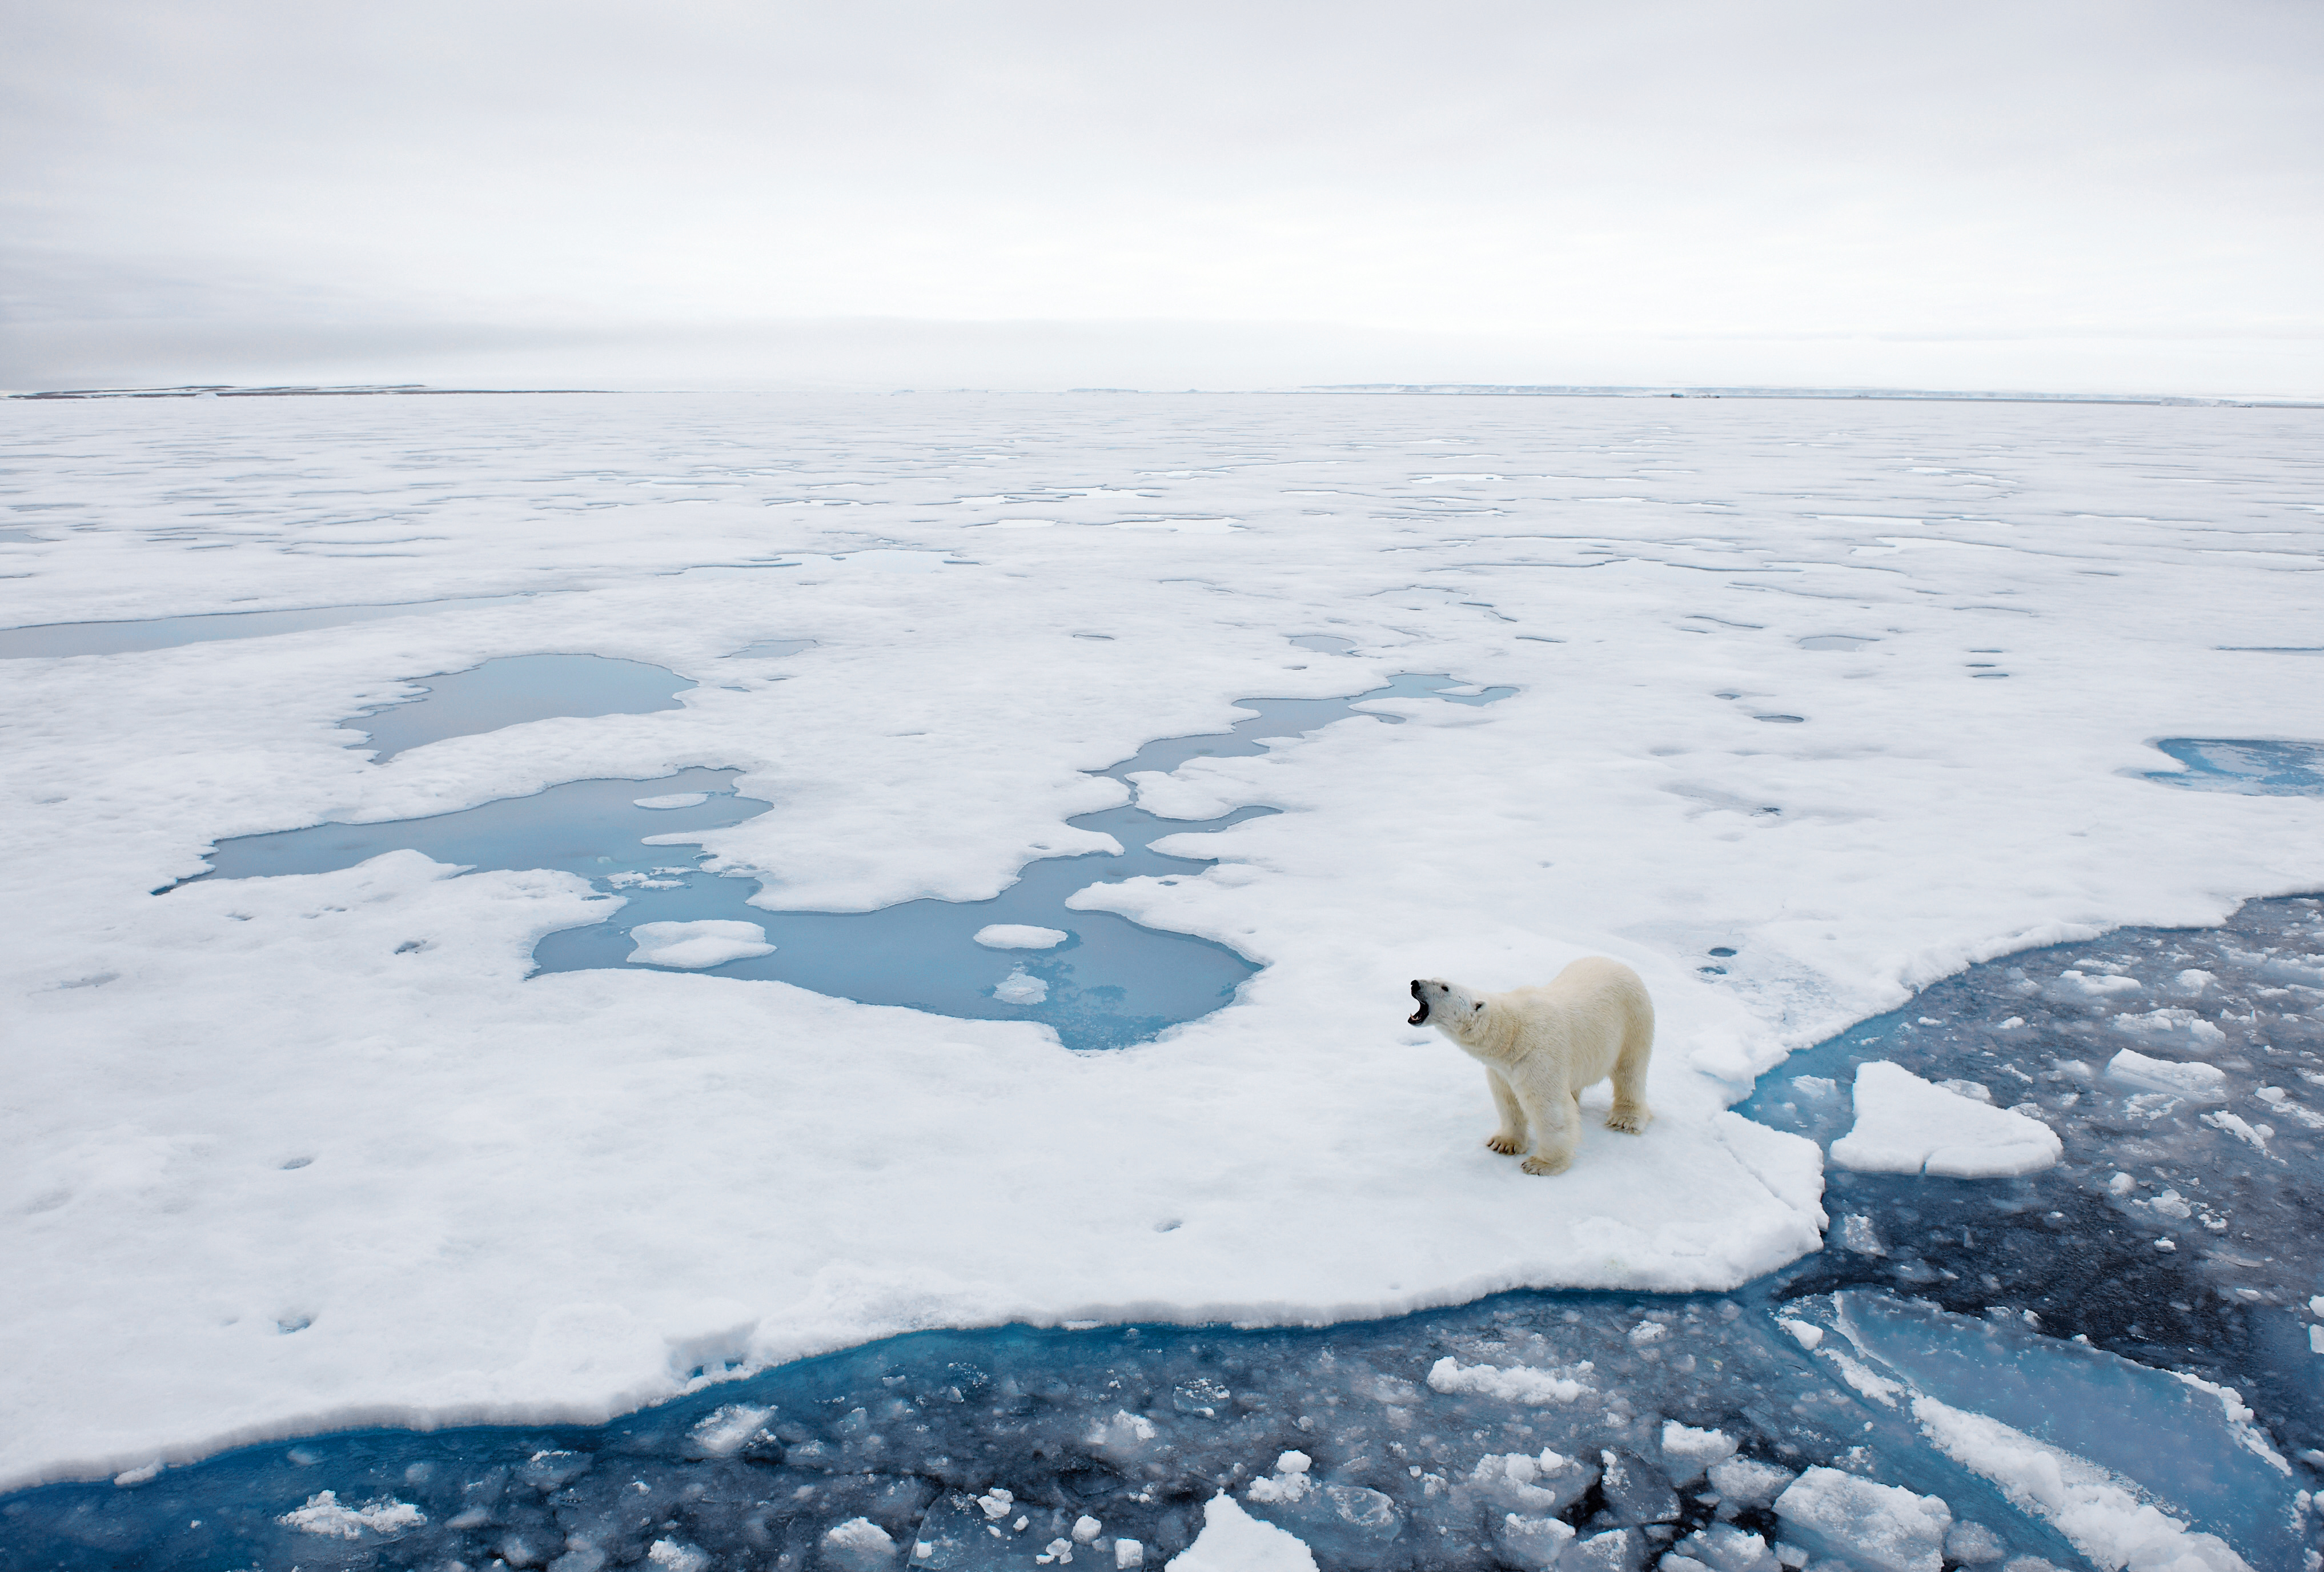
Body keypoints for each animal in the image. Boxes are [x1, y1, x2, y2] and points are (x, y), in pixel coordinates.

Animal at [1394, 958, 1655, 1181]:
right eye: (1435, 978)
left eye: (1445, 987)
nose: (1415, 983)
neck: (1511, 1034)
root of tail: (1620, 965)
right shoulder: (1501, 1069)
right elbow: (1507, 1100)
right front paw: (1504, 1143)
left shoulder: (1538, 1057)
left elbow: (1549, 1109)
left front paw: (1542, 1164)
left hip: (1633, 1021)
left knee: (1630, 1071)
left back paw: (1625, 1120)